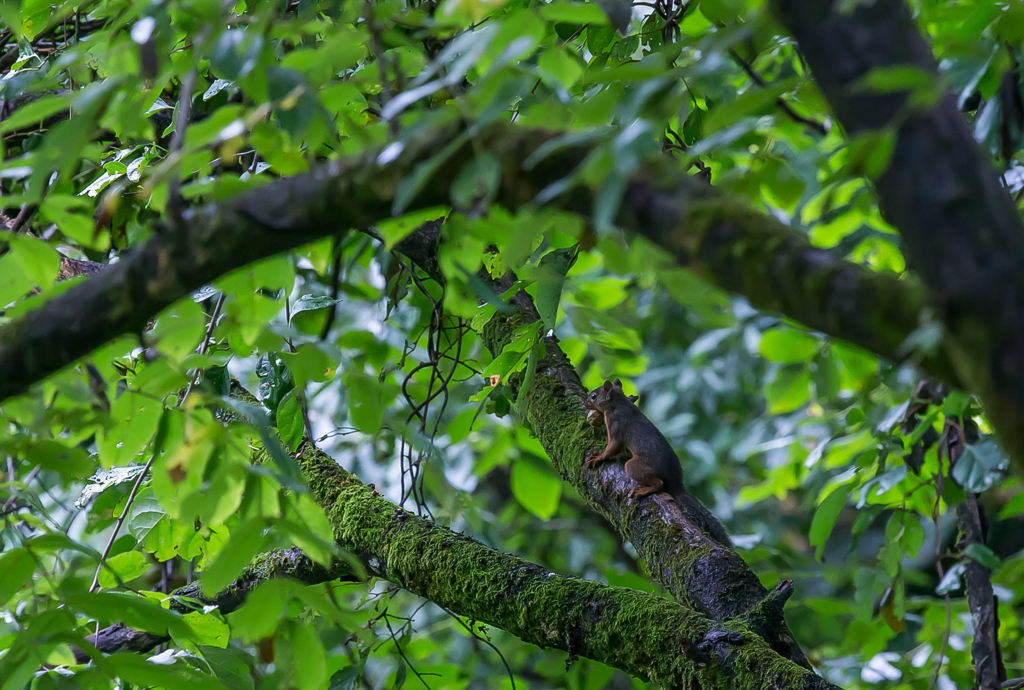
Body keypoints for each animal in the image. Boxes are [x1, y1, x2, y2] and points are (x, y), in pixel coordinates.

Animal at [585, 376, 729, 544]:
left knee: (658, 483)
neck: (619, 403)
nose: (585, 403)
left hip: (634, 466)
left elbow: (612, 447)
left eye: (594, 396)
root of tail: (676, 484)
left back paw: (643, 491)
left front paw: (598, 457)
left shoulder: (615, 425)